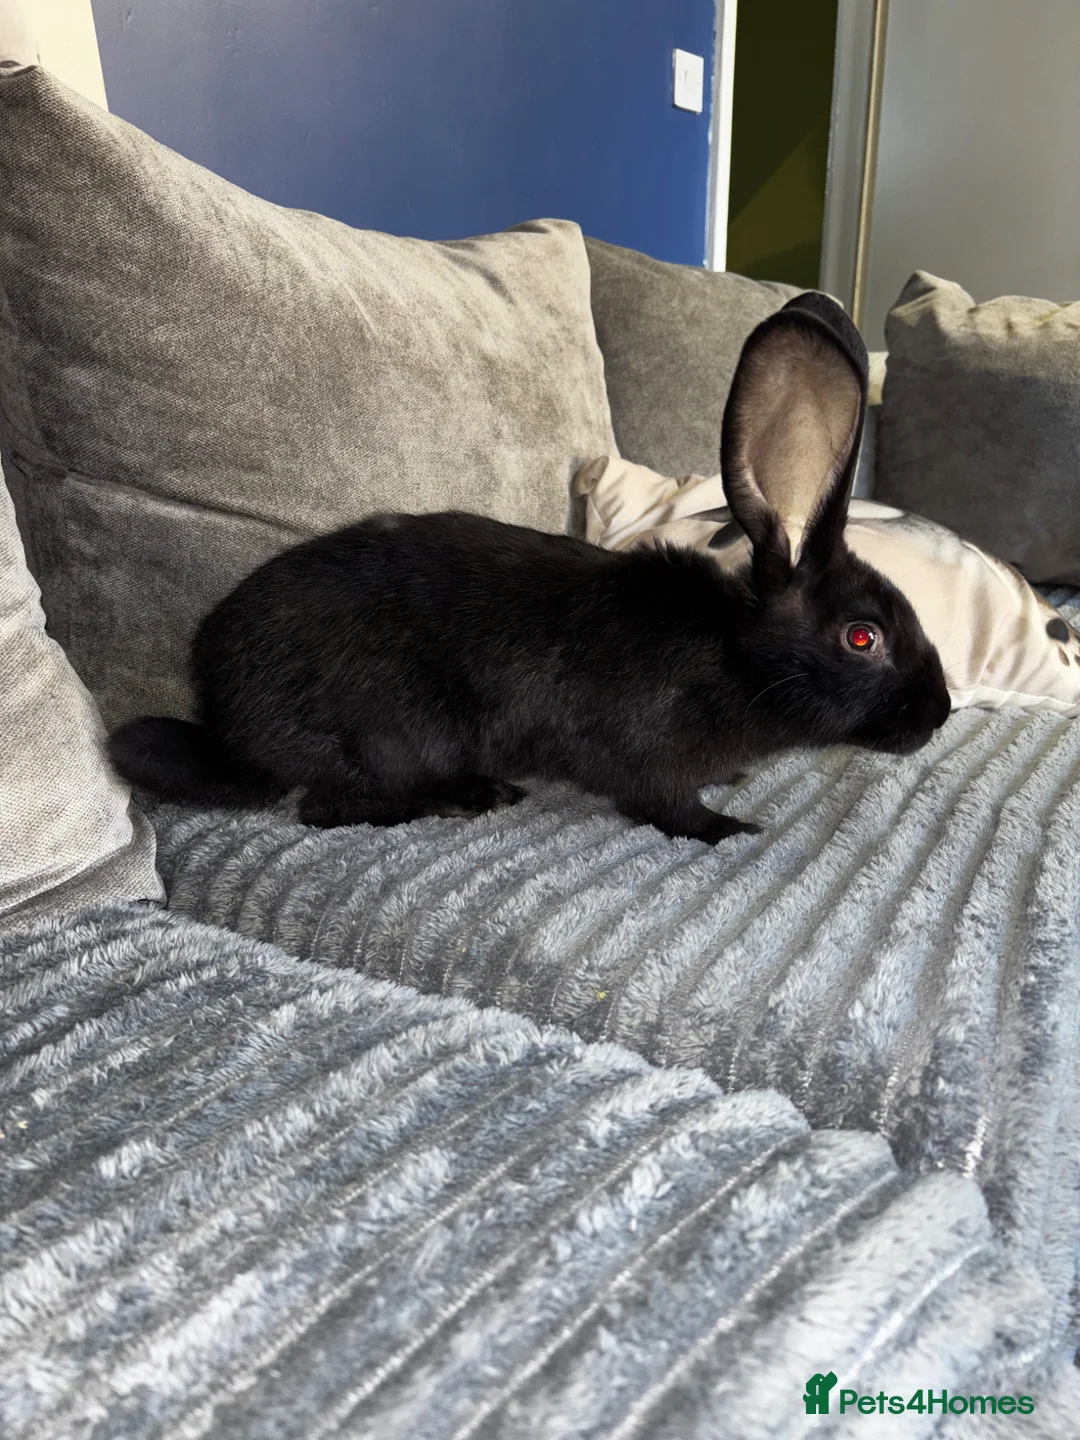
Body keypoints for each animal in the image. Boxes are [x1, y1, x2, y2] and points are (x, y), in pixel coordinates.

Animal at [108, 292, 951, 844]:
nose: (939, 714)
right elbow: (664, 806)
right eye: (863, 638)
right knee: (331, 809)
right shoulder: (643, 752)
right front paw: (729, 827)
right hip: (393, 734)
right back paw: (469, 798)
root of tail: (231, 725)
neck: (735, 655)